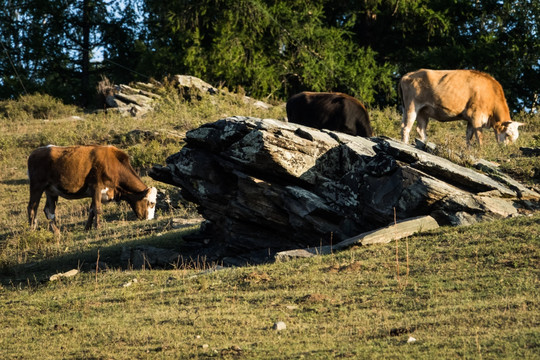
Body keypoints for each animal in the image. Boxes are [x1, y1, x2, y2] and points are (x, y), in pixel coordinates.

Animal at [27, 146, 157, 233]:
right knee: (32, 207)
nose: (150, 219)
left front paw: (87, 228)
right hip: (36, 186)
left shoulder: (95, 192)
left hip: (51, 190)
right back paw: (32, 230)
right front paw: (97, 227)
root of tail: (34, 152)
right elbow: (97, 209)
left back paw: (56, 231)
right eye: (151, 203)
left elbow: (91, 210)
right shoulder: (96, 187)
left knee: (49, 210)